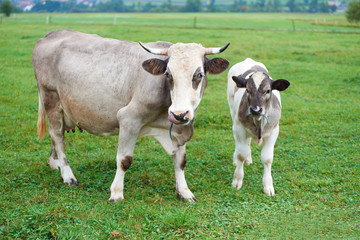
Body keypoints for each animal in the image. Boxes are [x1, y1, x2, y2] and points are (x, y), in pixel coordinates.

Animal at [32, 30, 229, 202]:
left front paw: (184, 192)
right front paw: (116, 192)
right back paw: (67, 174)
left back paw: (54, 163)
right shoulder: (128, 119)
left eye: (199, 74)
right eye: (168, 74)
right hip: (51, 98)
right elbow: (124, 159)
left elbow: (180, 162)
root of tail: (51, 34)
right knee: (57, 136)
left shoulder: (180, 128)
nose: (178, 114)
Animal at [228, 57, 290, 195]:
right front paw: (237, 180)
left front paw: (268, 186)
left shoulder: (273, 131)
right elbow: (241, 154)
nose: (255, 109)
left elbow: (267, 158)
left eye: (268, 91)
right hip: (233, 114)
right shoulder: (239, 128)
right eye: (247, 90)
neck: (258, 120)